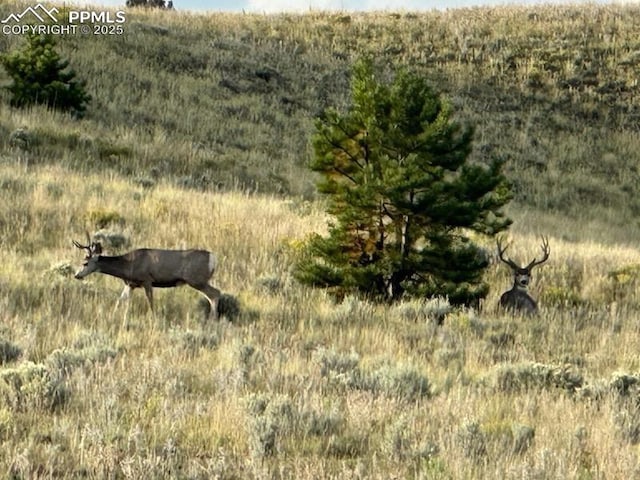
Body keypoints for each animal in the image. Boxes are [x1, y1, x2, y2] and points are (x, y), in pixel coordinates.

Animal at [73, 236, 220, 322]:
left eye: (85, 263)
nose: (76, 275)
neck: (128, 265)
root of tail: (213, 258)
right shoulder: (131, 284)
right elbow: (120, 300)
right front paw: (113, 316)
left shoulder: (147, 280)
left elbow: (150, 302)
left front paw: (153, 319)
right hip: (199, 280)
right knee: (213, 295)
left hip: (196, 279)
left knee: (215, 293)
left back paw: (213, 320)